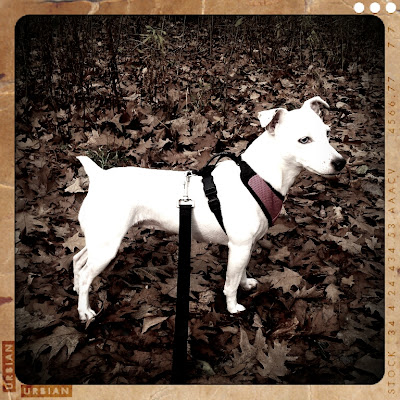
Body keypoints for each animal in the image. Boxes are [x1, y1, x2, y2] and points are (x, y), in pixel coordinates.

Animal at [73, 96, 346, 322]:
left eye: (328, 133)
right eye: (304, 140)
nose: (341, 162)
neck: (258, 176)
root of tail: (98, 176)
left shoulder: (244, 246)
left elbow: (241, 272)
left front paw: (246, 283)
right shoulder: (239, 246)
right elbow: (230, 283)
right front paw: (233, 307)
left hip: (99, 240)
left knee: (78, 260)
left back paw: (76, 289)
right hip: (107, 246)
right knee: (87, 275)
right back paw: (85, 310)